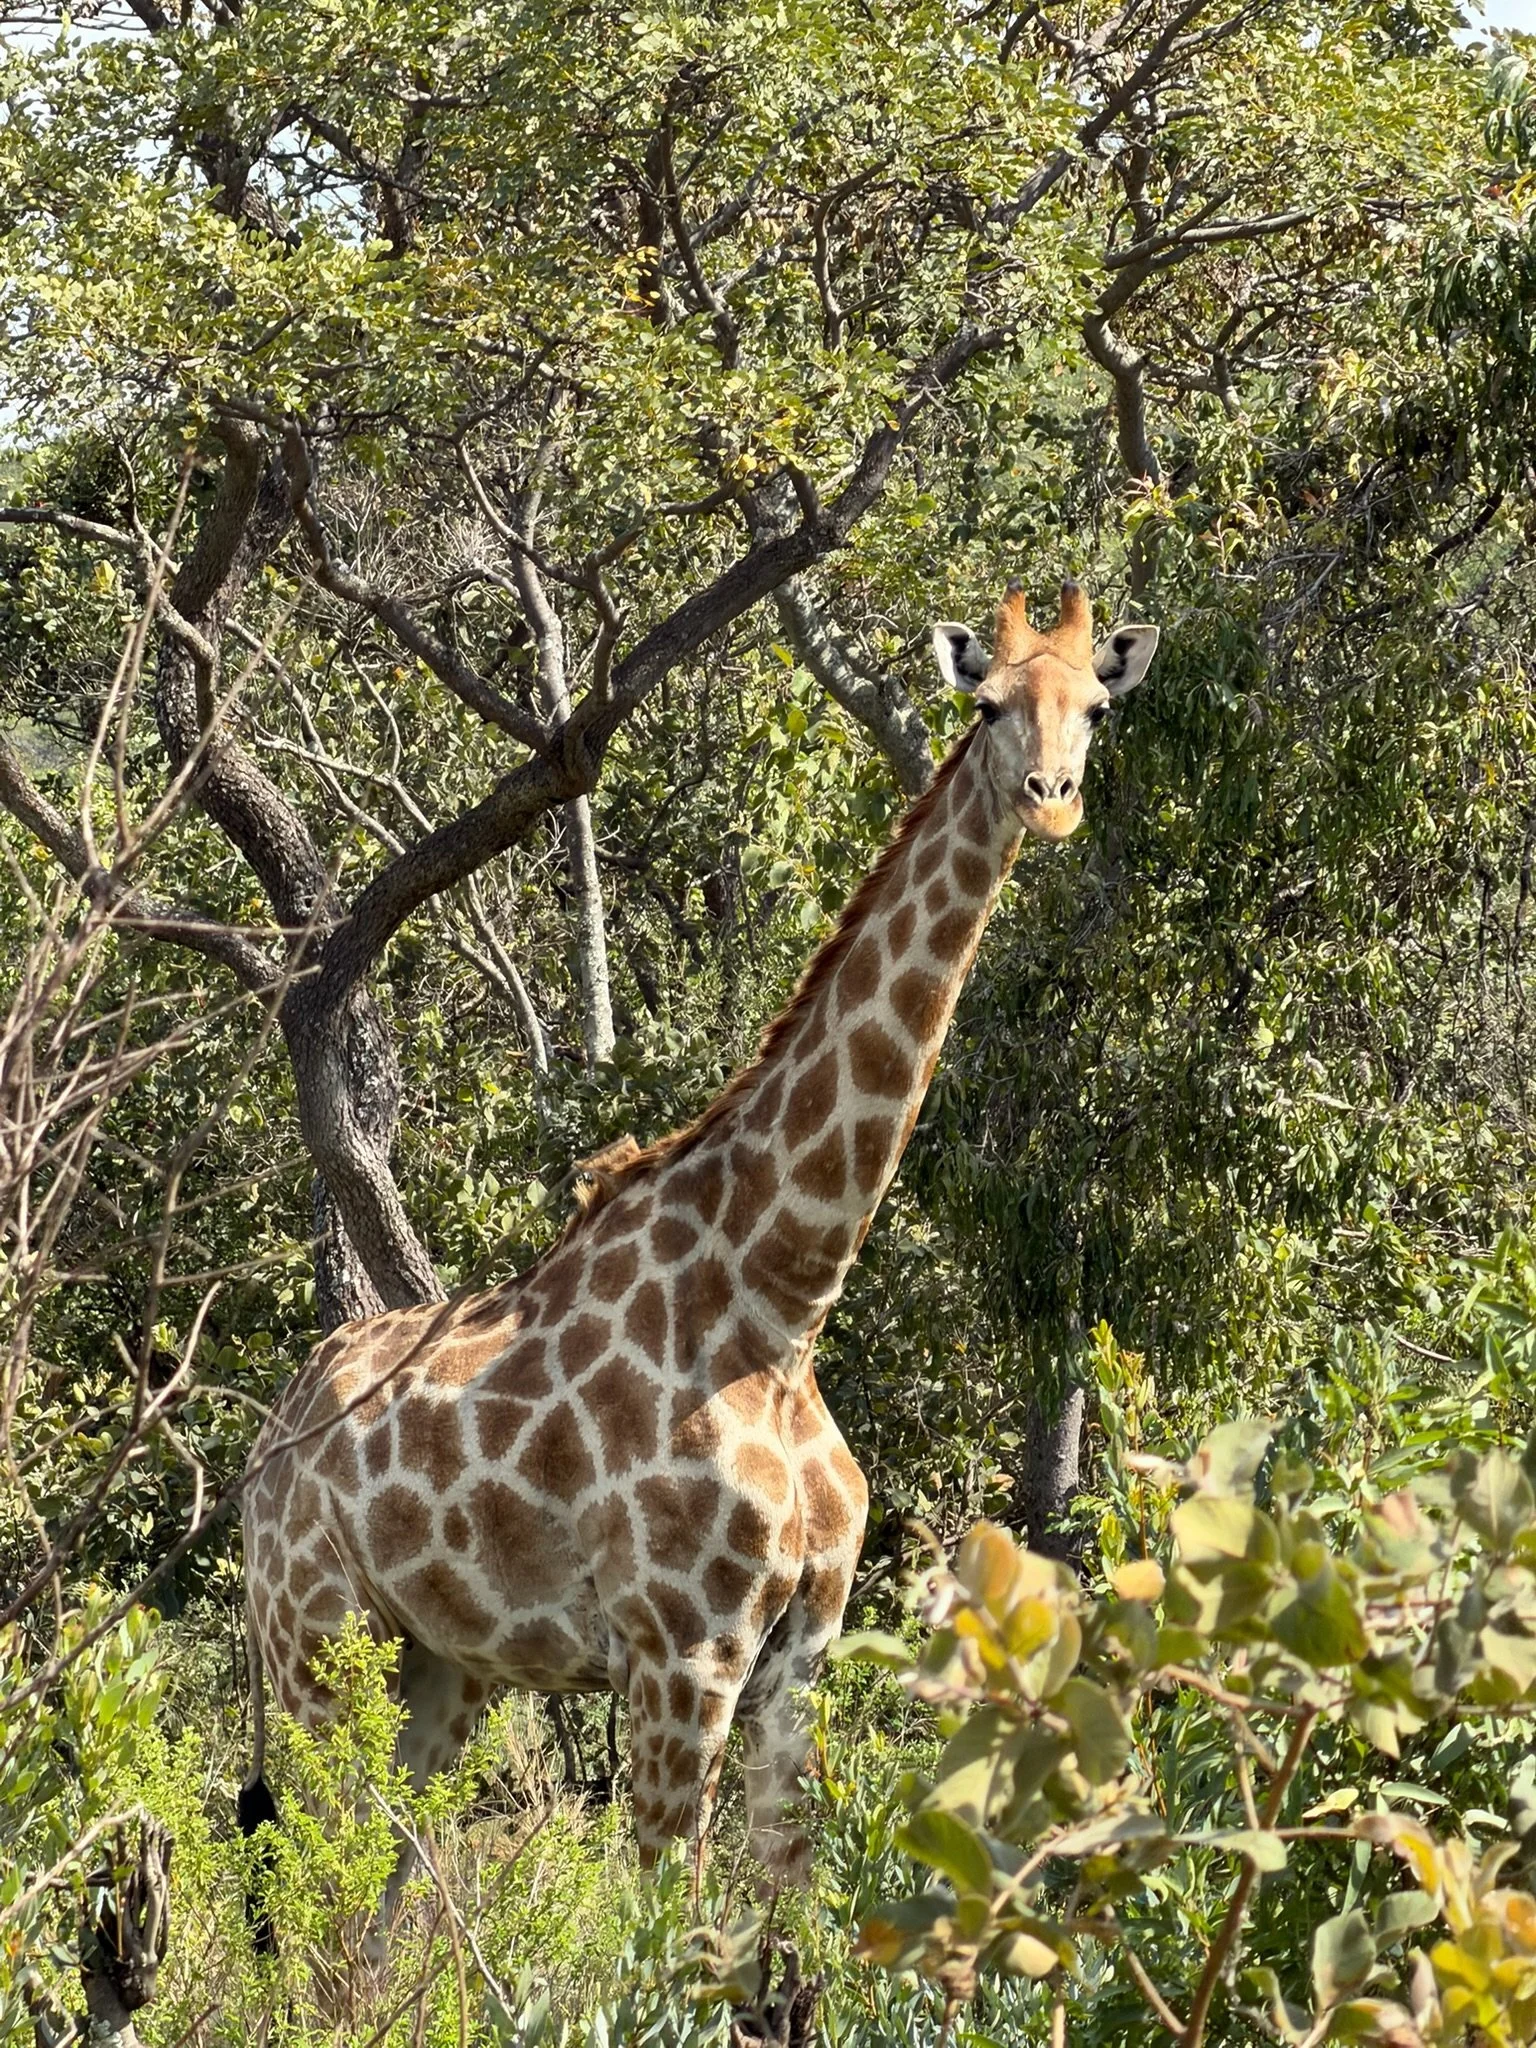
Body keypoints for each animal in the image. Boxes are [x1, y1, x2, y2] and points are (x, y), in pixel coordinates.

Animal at [239, 577, 1158, 1922]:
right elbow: (661, 1923)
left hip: (440, 1667)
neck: (781, 1298)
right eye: (986, 702)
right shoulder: (684, 1652)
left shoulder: (795, 1657)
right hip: (315, 1644)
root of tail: (260, 1449)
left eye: (1094, 703)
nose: (1052, 798)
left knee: (377, 1906)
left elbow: (793, 1921)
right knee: (316, 1893)